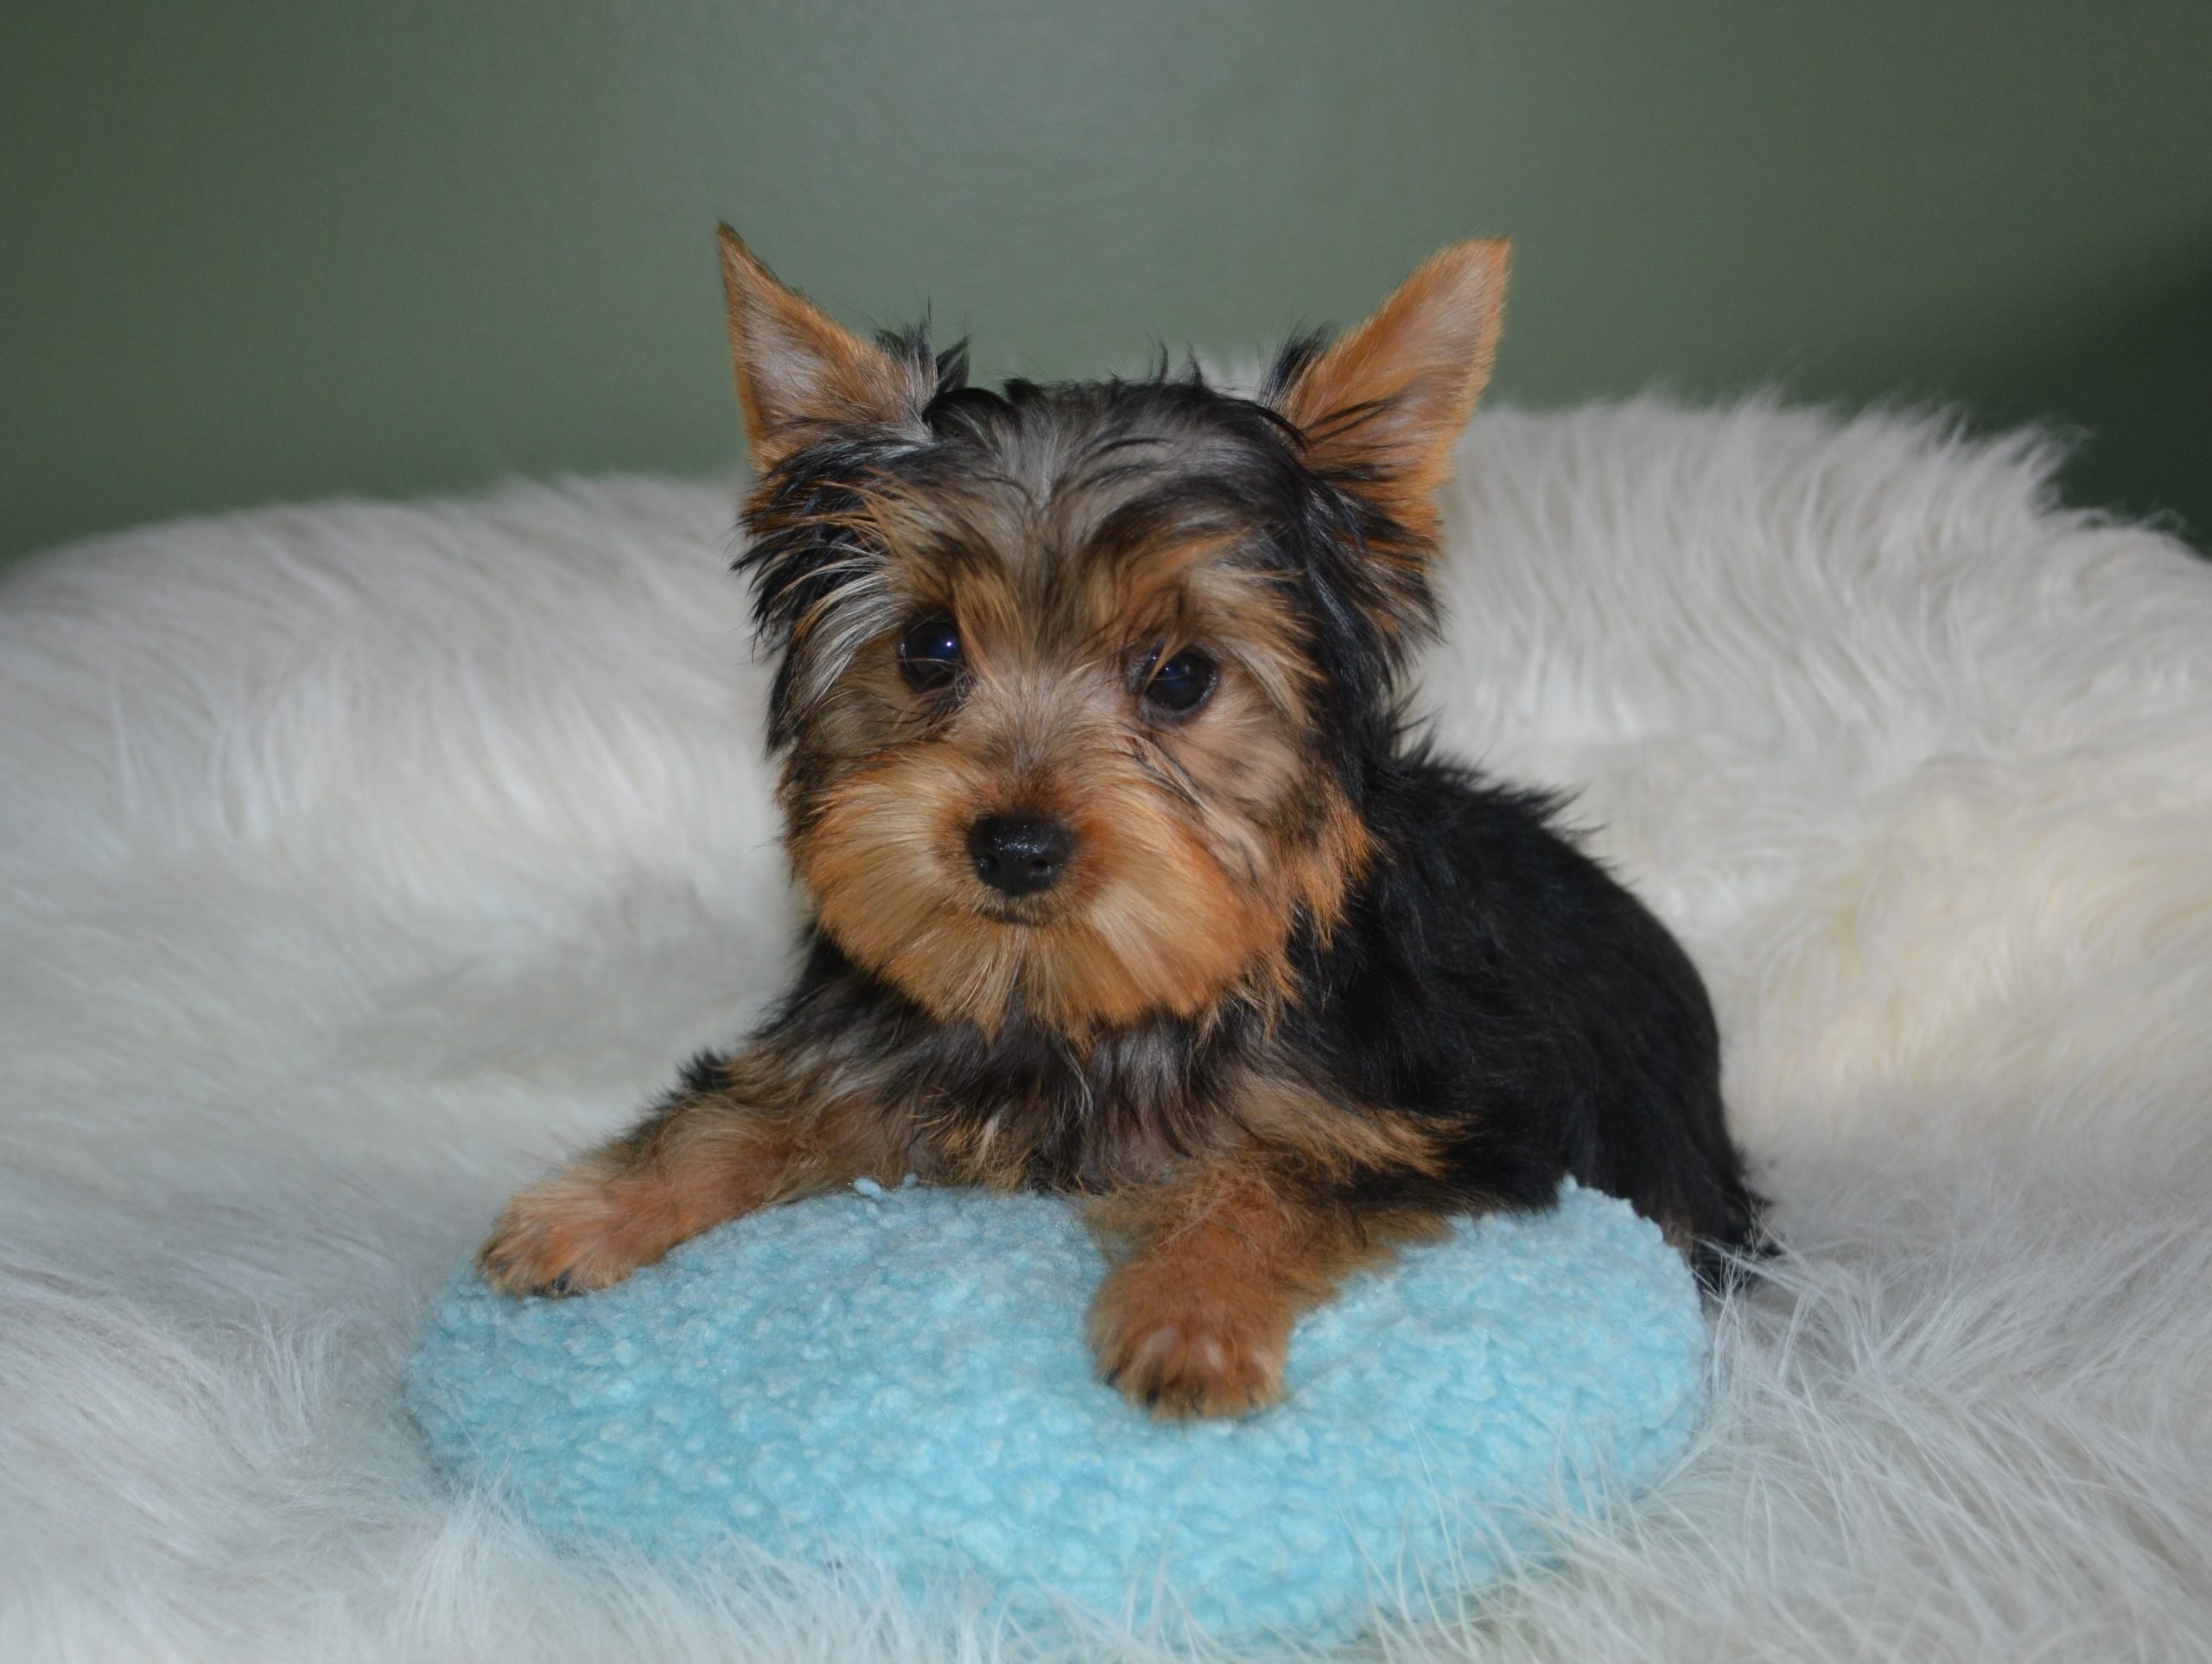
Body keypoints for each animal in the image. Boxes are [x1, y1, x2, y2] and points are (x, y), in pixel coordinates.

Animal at [477, 227, 1761, 1417]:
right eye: (928, 646)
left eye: (1183, 676)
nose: (1016, 845)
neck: (1070, 1003)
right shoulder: (877, 1041)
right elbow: (750, 1108)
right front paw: (594, 1206)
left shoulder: (1449, 1125)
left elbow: (1282, 1173)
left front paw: (1191, 1312)